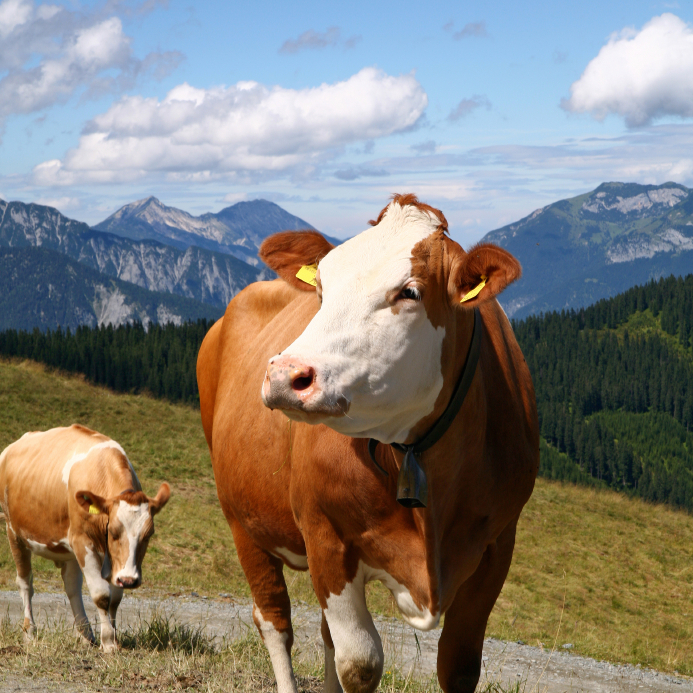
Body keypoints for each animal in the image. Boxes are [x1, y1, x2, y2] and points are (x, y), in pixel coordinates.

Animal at [0, 422, 170, 648]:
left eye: (148, 534)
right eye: (113, 531)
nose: (129, 580)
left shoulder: (113, 560)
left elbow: (115, 598)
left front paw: (113, 637)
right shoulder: (83, 542)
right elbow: (101, 595)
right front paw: (108, 642)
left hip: (68, 547)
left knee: (72, 586)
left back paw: (85, 634)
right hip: (14, 532)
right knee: (25, 583)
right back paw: (30, 632)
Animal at [197, 195, 536, 692]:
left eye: (409, 292)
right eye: (321, 287)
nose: (285, 375)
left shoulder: (497, 548)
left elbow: (457, 668)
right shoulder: (326, 535)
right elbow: (359, 663)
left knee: (322, 634)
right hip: (242, 519)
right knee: (275, 622)